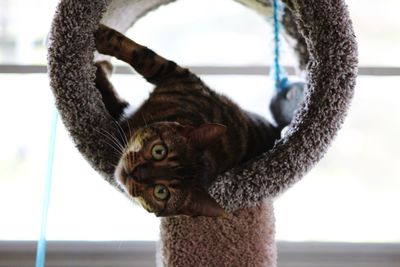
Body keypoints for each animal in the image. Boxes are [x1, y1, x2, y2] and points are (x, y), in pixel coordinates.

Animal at [94, 24, 284, 219]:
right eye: (159, 151)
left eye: (161, 192)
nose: (135, 174)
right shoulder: (180, 76)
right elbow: (141, 55)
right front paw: (102, 37)